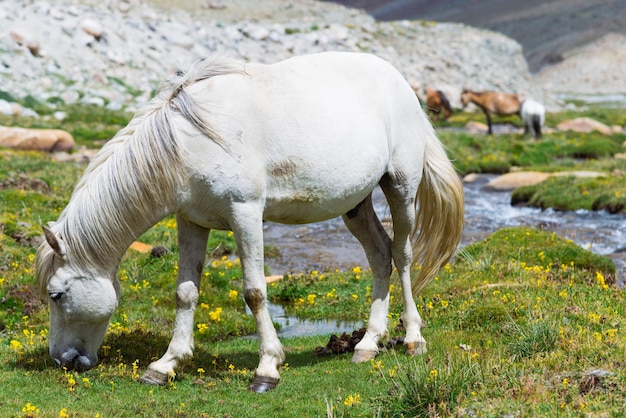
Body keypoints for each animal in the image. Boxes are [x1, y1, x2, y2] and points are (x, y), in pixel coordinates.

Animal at [35, 51, 464, 392]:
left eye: (56, 295)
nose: (62, 360)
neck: (189, 143)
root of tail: (401, 84)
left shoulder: (245, 213)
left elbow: (255, 292)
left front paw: (267, 368)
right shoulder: (191, 221)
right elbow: (185, 293)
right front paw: (165, 365)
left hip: (401, 188)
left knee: (403, 255)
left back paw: (413, 338)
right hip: (355, 204)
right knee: (379, 256)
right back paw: (368, 344)